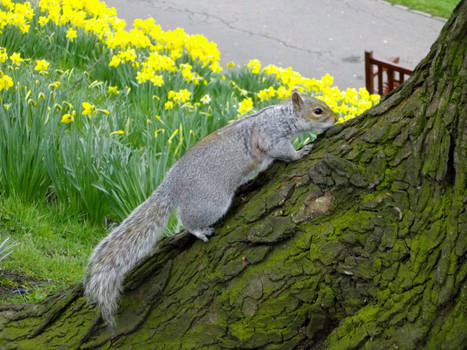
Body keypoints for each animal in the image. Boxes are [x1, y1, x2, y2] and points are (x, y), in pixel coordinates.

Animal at [85, 90, 340, 326]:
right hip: (212, 202)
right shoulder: (271, 136)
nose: (336, 118)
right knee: (187, 221)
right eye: (318, 111)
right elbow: (282, 151)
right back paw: (199, 231)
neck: (284, 116)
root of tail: (171, 185)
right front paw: (300, 152)